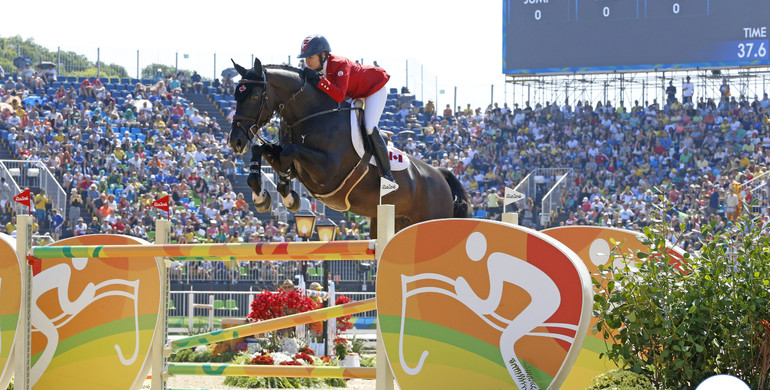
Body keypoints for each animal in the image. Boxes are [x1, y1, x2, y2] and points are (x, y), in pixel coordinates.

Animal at [226, 58, 468, 235]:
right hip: (394, 220)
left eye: (255, 96)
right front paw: (261, 197)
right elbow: (262, 150)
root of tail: (440, 175)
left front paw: (288, 196)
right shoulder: (297, 166)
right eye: (236, 95)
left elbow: (290, 152)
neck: (312, 114)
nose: (235, 142)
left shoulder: (327, 171)